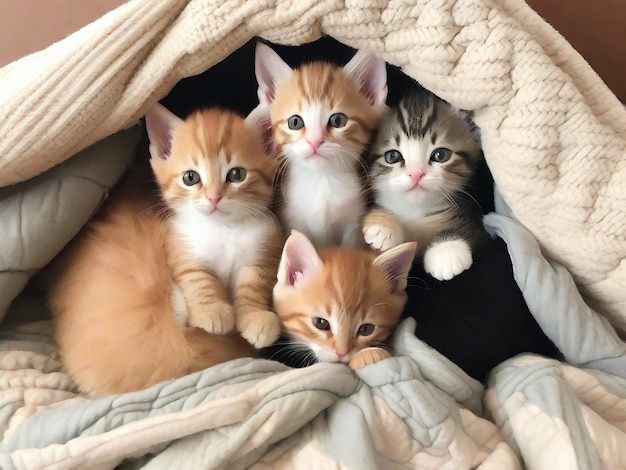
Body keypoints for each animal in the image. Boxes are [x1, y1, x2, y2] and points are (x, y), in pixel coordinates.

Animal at [47, 103, 282, 396]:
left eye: (236, 174)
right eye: (191, 178)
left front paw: (256, 318)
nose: (214, 198)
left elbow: (253, 285)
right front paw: (213, 312)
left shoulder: (264, 248)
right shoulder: (183, 248)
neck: (224, 229)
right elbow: (198, 280)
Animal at [360, 86, 482, 280]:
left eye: (440, 155)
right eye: (392, 156)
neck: (415, 212)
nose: (416, 174)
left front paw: (447, 250)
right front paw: (382, 225)